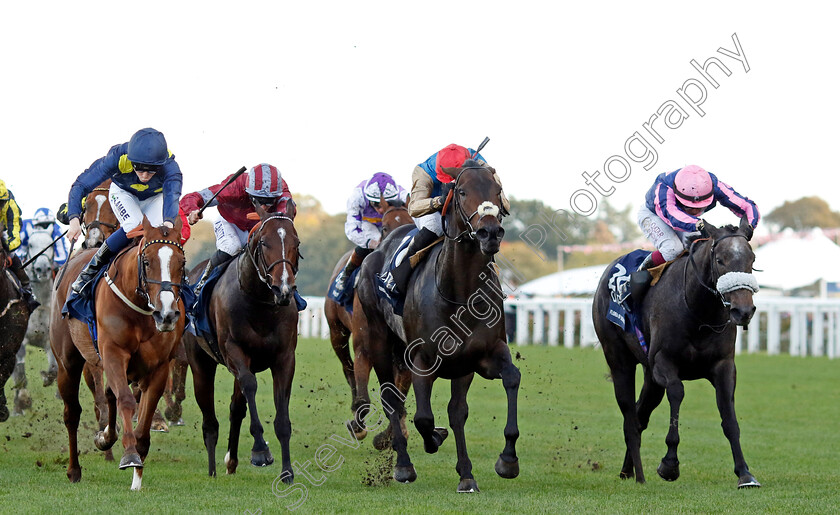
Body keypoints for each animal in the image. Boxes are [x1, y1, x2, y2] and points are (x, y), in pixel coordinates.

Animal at [52, 216, 185, 490]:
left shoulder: (159, 367)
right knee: (72, 413)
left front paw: (137, 477)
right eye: (147, 261)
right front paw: (130, 455)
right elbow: (125, 400)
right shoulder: (113, 353)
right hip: (67, 363)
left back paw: (105, 438)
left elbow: (143, 421)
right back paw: (74, 469)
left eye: (182, 262)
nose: (167, 314)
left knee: (107, 394)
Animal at [187, 203, 302, 484]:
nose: (284, 289)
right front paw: (260, 451)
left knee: (235, 408)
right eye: (264, 242)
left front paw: (287, 472)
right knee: (210, 420)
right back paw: (213, 470)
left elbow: (282, 419)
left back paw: (231, 461)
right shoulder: (234, 352)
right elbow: (250, 385)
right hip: (200, 363)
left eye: (296, 242)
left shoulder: (285, 359)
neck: (260, 303)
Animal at [324, 202, 412, 444]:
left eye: (411, 220)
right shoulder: (363, 346)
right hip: (337, 332)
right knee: (348, 369)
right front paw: (358, 425)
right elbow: (364, 393)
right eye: (385, 227)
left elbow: (397, 395)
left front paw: (393, 433)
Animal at [350, 163, 520, 494]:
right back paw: (403, 464)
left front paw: (496, 464)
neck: (461, 295)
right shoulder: (423, 360)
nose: (490, 232)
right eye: (462, 191)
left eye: (497, 190)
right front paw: (431, 441)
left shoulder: (478, 357)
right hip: (377, 339)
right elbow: (424, 417)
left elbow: (491, 391)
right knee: (392, 400)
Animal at [592, 220, 760, 490]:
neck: (699, 313)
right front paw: (669, 464)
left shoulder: (724, 366)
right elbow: (677, 393)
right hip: (619, 359)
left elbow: (729, 417)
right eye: (720, 260)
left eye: (752, 259)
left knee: (640, 415)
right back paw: (639, 475)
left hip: (650, 378)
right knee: (630, 415)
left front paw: (744, 473)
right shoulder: (664, 363)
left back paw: (628, 470)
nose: (743, 310)